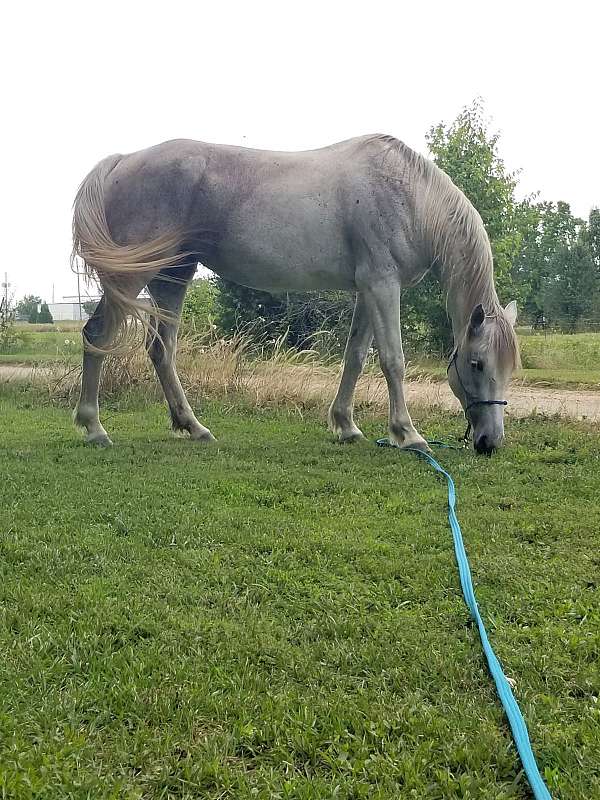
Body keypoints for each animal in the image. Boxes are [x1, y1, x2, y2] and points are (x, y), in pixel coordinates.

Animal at [71, 134, 520, 454]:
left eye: (510, 369)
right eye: (477, 363)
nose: (490, 443)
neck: (408, 195)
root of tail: (123, 160)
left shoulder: (366, 291)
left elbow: (355, 357)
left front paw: (346, 425)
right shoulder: (382, 286)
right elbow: (393, 360)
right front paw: (407, 434)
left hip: (173, 277)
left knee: (161, 350)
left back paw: (193, 427)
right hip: (134, 276)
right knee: (98, 335)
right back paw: (94, 427)